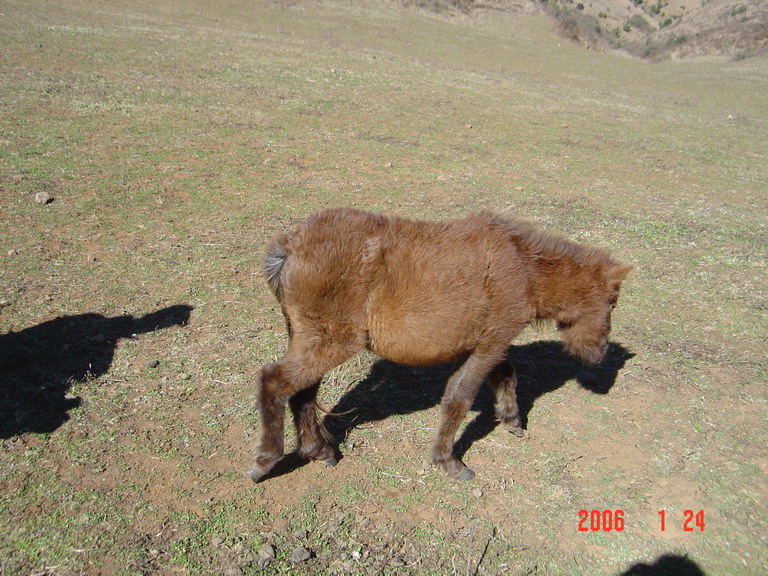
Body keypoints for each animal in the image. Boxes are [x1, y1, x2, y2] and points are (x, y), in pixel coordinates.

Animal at [250, 207, 632, 482]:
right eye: (612, 302)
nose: (598, 353)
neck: (523, 269)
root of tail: (290, 245)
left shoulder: (480, 346)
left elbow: (500, 378)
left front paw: (512, 419)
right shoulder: (491, 344)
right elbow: (460, 400)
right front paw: (450, 462)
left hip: (313, 341)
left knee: (302, 393)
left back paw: (320, 452)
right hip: (332, 342)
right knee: (276, 382)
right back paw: (266, 462)